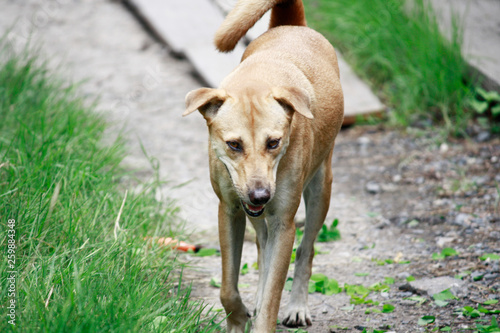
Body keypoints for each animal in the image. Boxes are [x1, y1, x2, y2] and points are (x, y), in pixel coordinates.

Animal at [184, 1, 344, 330]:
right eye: (234, 144)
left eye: (274, 142)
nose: (260, 195)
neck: (257, 81)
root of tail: (292, 25)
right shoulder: (230, 211)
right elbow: (228, 287)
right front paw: (238, 319)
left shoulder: (284, 222)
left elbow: (274, 291)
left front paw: (263, 318)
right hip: (255, 215)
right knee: (261, 245)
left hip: (320, 189)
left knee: (305, 250)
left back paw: (297, 306)